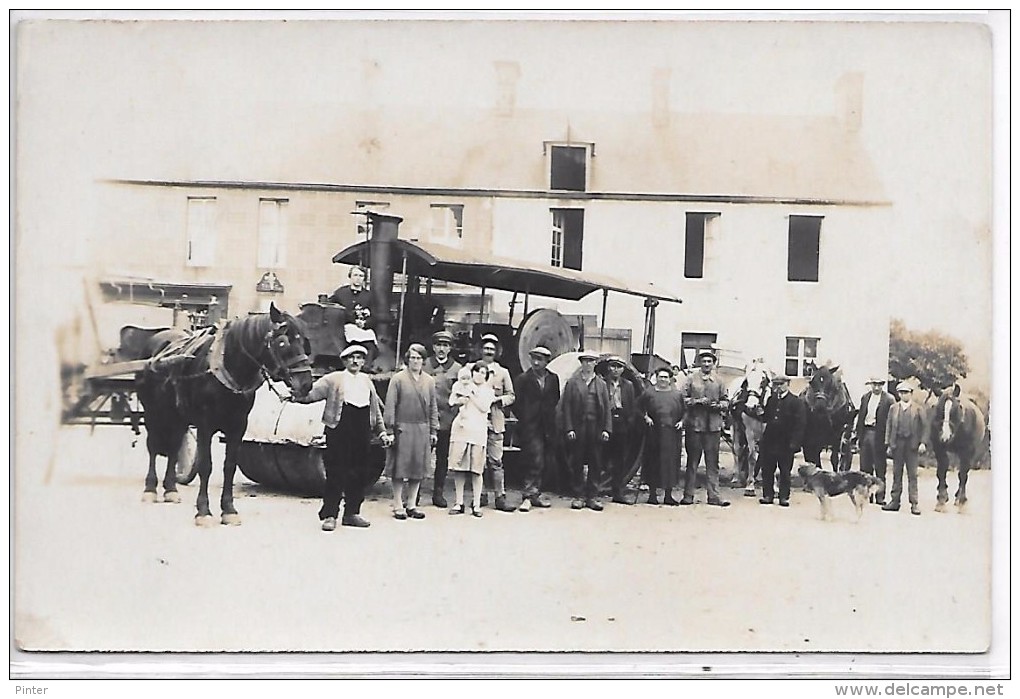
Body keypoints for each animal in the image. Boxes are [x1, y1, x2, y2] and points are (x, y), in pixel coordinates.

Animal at [136, 302, 310, 526]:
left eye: (303, 341)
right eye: (282, 342)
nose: (306, 384)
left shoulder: (238, 426)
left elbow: (229, 466)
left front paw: (228, 509)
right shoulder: (205, 425)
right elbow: (206, 466)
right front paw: (203, 511)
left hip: (178, 417)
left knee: (174, 447)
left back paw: (171, 489)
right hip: (153, 413)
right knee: (152, 447)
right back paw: (150, 488)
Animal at [934, 381, 987, 512]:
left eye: (955, 409)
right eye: (938, 408)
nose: (945, 436)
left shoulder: (967, 451)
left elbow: (963, 474)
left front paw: (961, 501)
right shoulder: (938, 447)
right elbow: (942, 470)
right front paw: (941, 499)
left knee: (964, 473)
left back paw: (959, 497)